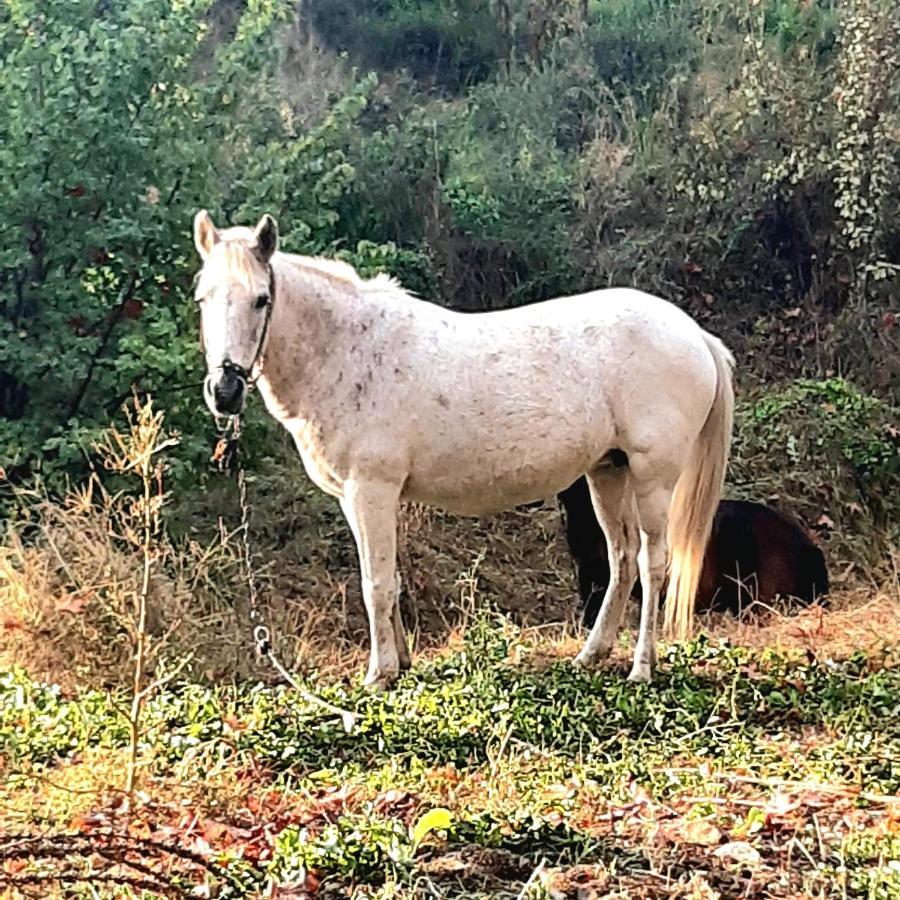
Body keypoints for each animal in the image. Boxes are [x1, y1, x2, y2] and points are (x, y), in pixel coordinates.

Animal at [193, 211, 736, 688]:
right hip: (608, 472)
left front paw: (378, 675)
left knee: (651, 563)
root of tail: (694, 334)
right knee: (621, 559)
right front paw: (401, 664)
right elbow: (388, 580)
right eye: (202, 298)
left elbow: (376, 585)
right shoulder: (358, 499)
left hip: (652, 478)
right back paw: (590, 655)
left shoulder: (372, 491)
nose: (225, 390)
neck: (347, 350)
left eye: (261, 299)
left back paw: (642, 667)